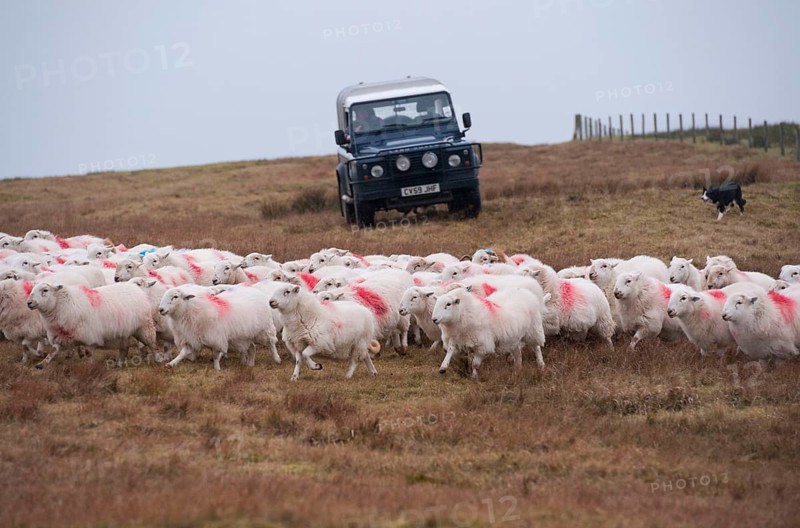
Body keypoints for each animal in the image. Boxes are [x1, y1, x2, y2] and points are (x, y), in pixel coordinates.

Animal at [26, 282, 158, 368]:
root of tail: (136, 289)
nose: (29, 303)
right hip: (122, 334)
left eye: (45, 290)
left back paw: (158, 359)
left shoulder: (89, 337)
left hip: (144, 328)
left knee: (152, 344)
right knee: (124, 348)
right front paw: (41, 364)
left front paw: (90, 367)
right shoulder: (61, 337)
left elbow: (89, 354)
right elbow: (53, 351)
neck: (62, 305)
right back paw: (119, 364)